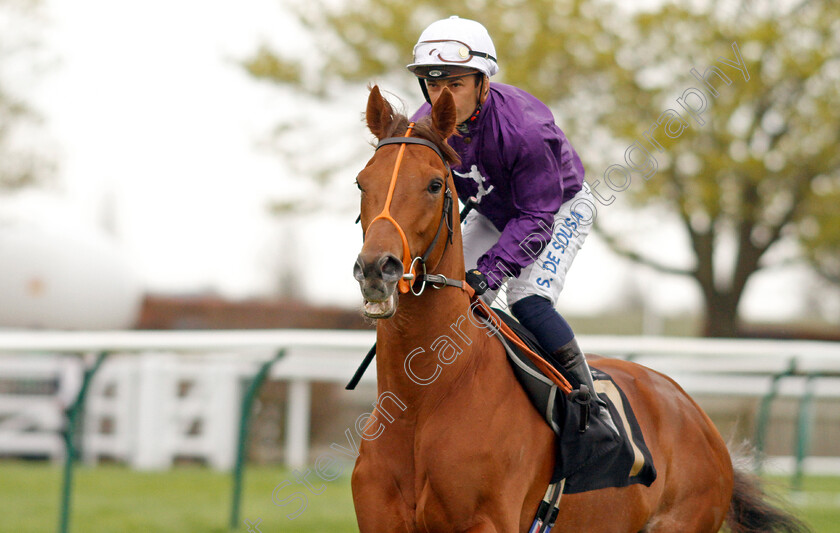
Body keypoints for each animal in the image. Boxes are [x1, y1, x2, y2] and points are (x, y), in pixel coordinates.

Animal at [350, 84, 808, 532]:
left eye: (434, 184)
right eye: (361, 182)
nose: (376, 268)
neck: (424, 402)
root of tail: (698, 417)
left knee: (532, 296)